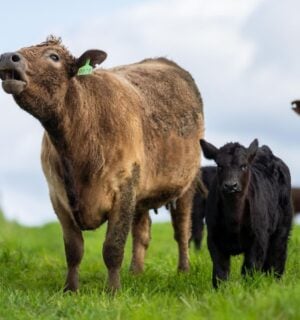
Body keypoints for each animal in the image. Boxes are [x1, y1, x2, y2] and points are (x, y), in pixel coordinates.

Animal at [0, 36, 204, 292]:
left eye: (54, 56)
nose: (8, 56)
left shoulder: (123, 188)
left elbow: (113, 247)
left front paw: (113, 290)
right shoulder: (58, 196)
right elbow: (74, 249)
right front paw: (70, 289)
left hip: (187, 183)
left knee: (182, 229)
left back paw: (183, 270)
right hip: (142, 192)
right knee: (142, 232)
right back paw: (136, 272)